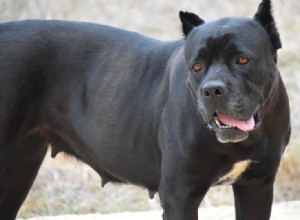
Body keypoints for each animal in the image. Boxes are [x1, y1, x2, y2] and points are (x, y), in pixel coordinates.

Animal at [0, 0, 290, 220]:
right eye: (196, 67)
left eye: (242, 60)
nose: (212, 90)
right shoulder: (179, 195)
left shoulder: (257, 186)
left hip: (20, 167)